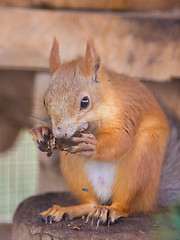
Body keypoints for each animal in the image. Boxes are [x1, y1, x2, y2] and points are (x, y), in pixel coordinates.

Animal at [30, 38, 174, 227]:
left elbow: (120, 140)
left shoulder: (124, 113)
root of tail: (151, 197)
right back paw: (67, 210)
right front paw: (41, 132)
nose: (60, 133)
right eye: (45, 101)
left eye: (85, 102)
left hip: (141, 161)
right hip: (76, 169)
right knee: (90, 203)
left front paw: (93, 146)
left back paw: (111, 210)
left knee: (126, 205)